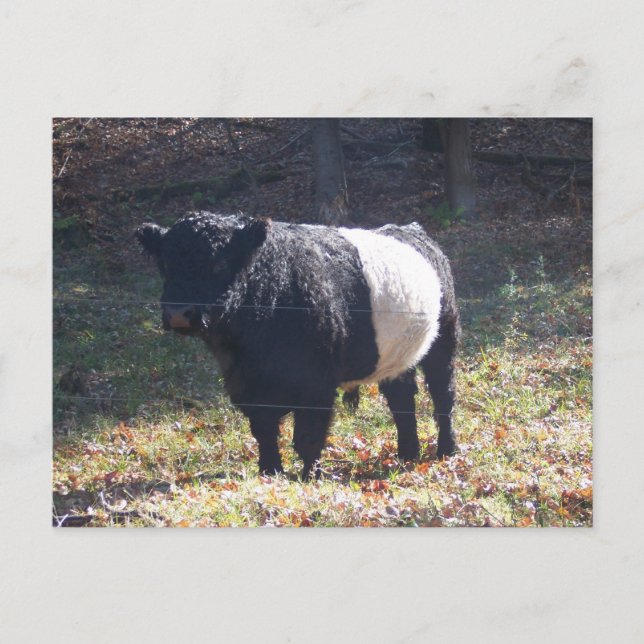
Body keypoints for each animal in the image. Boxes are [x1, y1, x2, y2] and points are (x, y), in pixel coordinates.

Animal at [137, 211, 460, 478]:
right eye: (165, 265)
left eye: (219, 263)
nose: (179, 313)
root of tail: (412, 229)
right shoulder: (247, 385)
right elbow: (264, 431)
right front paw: (270, 472)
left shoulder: (316, 384)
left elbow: (308, 435)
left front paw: (310, 476)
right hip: (397, 356)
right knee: (402, 399)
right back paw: (407, 453)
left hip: (444, 339)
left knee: (443, 395)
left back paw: (446, 450)